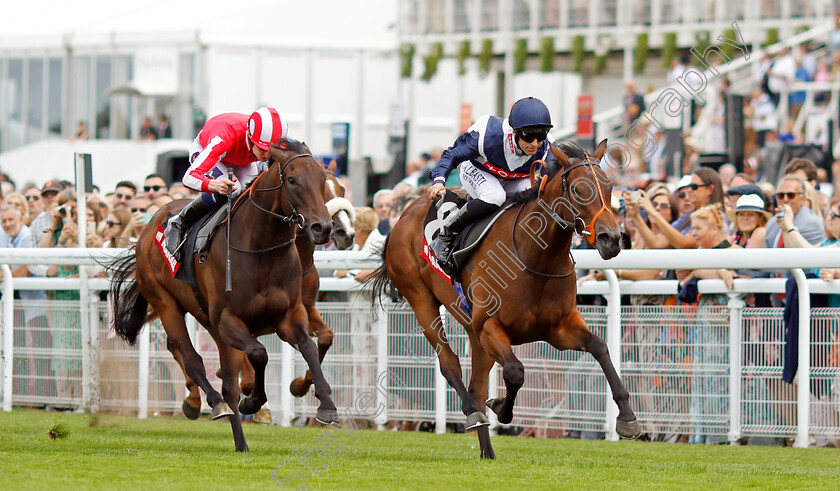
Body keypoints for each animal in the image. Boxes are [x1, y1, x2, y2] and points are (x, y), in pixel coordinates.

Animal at [110, 139, 340, 454]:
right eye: (292, 180)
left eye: (322, 179)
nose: (324, 227)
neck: (261, 248)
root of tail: (148, 227)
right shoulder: (228, 319)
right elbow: (258, 353)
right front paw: (253, 402)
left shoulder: (289, 316)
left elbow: (308, 346)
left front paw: (325, 403)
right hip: (167, 302)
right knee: (191, 357)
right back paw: (214, 404)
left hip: (208, 320)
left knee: (220, 376)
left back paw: (239, 440)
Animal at [370, 140, 640, 460]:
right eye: (577, 190)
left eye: (609, 186)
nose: (612, 239)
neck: (535, 256)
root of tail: (403, 215)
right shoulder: (490, 326)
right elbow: (514, 372)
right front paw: (501, 408)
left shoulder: (559, 329)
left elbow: (600, 347)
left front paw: (627, 418)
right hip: (420, 298)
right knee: (450, 364)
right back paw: (474, 414)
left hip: (472, 329)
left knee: (477, 384)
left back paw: (487, 450)